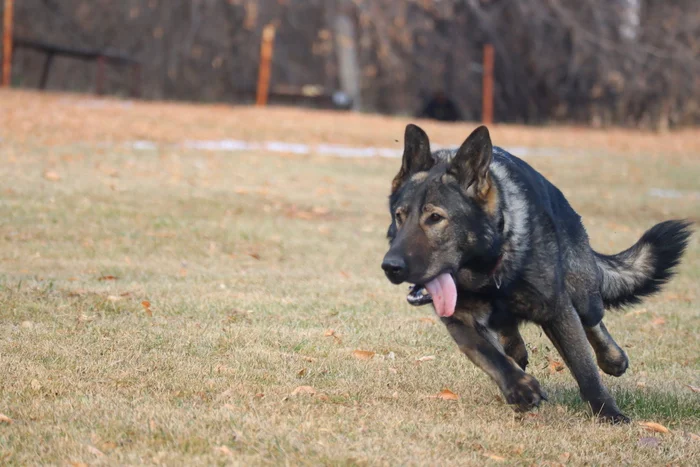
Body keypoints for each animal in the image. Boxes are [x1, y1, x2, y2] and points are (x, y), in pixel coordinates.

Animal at [386, 125, 692, 424]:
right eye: (400, 216)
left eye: (435, 218)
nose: (390, 266)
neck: (490, 271)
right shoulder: (460, 322)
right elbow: (490, 355)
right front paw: (519, 388)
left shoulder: (558, 310)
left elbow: (584, 368)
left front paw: (609, 412)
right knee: (511, 340)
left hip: (584, 296)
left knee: (593, 320)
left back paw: (612, 358)